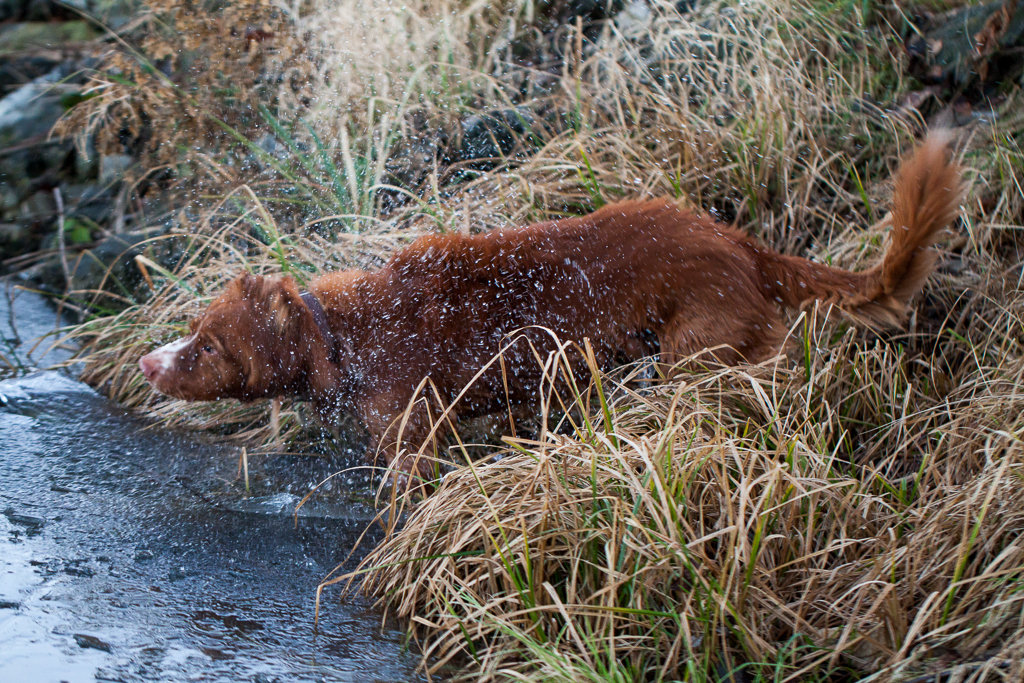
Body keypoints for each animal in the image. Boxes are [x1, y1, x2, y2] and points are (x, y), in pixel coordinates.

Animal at [138, 133, 966, 485]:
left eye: (207, 345)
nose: (148, 361)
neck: (341, 334)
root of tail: (739, 244)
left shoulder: (412, 426)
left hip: (702, 353)